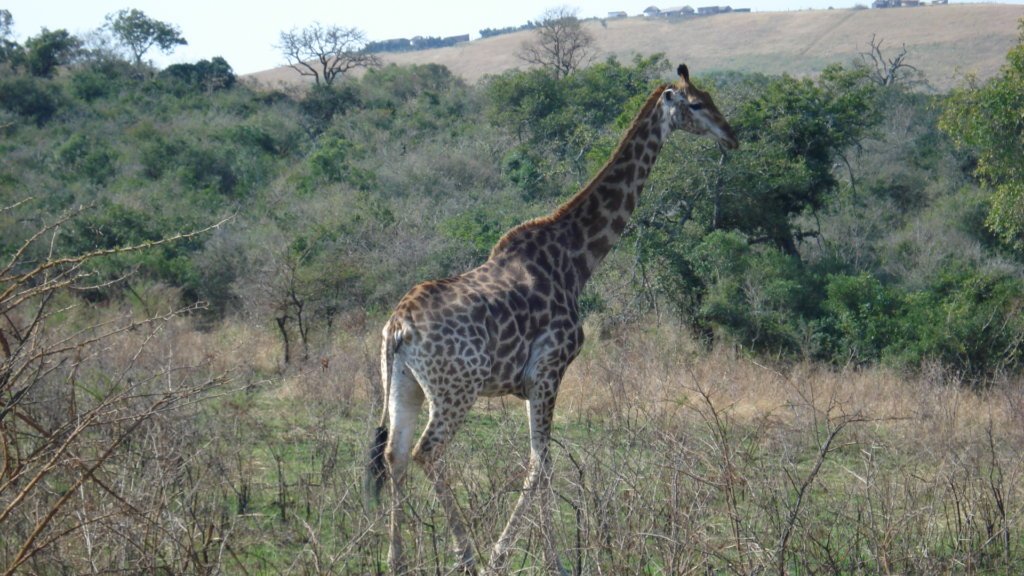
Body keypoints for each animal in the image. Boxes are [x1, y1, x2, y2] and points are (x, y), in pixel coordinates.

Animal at [366, 64, 738, 575]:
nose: (732, 136)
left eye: (712, 98)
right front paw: (528, 558)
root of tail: (399, 326)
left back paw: (397, 559)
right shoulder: (549, 370)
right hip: (456, 388)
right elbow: (541, 463)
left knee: (395, 455)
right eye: (697, 104)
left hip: (405, 385)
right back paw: (467, 554)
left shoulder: (533, 379)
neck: (577, 258)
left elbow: (539, 462)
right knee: (428, 452)